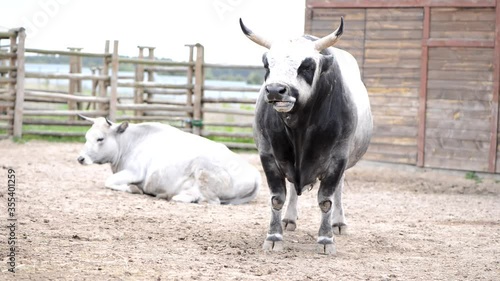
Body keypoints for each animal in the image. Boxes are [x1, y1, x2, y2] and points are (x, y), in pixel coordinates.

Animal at [77, 115, 262, 205]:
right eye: (86, 137)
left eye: (100, 139)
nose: (80, 158)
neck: (133, 142)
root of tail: (254, 173)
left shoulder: (134, 172)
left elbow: (109, 181)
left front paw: (133, 189)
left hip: (203, 171)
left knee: (208, 200)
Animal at [240, 17, 374, 254]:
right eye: (267, 64)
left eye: (308, 65)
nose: (275, 90)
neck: (299, 128)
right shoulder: (268, 155)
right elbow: (277, 198)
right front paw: (274, 236)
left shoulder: (338, 159)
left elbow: (326, 200)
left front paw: (326, 239)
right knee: (294, 189)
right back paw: (289, 219)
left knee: (338, 191)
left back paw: (338, 223)